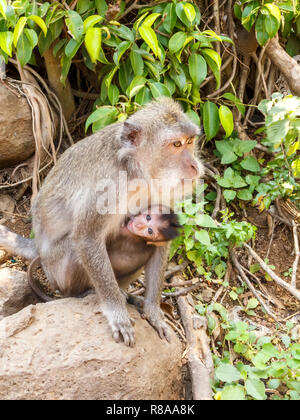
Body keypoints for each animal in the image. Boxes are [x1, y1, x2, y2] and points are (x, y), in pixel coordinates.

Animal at [0, 97, 203, 346]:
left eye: (189, 141)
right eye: (176, 144)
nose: (194, 165)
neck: (134, 170)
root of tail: (38, 246)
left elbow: (160, 243)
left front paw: (153, 311)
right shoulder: (107, 186)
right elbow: (87, 238)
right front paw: (116, 311)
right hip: (55, 270)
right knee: (74, 250)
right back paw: (86, 294)